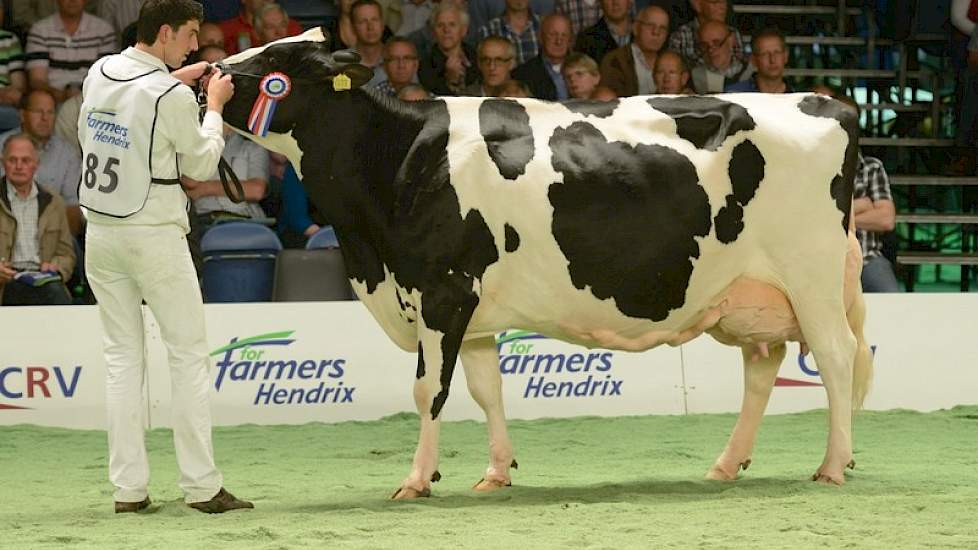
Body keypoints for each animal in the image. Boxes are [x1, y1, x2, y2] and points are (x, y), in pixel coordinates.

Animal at [219, 30, 868, 500]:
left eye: (276, 60)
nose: (210, 76)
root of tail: (825, 100)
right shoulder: (472, 308)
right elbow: (486, 389)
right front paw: (496, 473)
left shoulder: (443, 290)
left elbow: (429, 389)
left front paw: (415, 480)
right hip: (749, 292)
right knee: (763, 367)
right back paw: (727, 465)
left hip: (810, 275)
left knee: (834, 357)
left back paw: (833, 465)